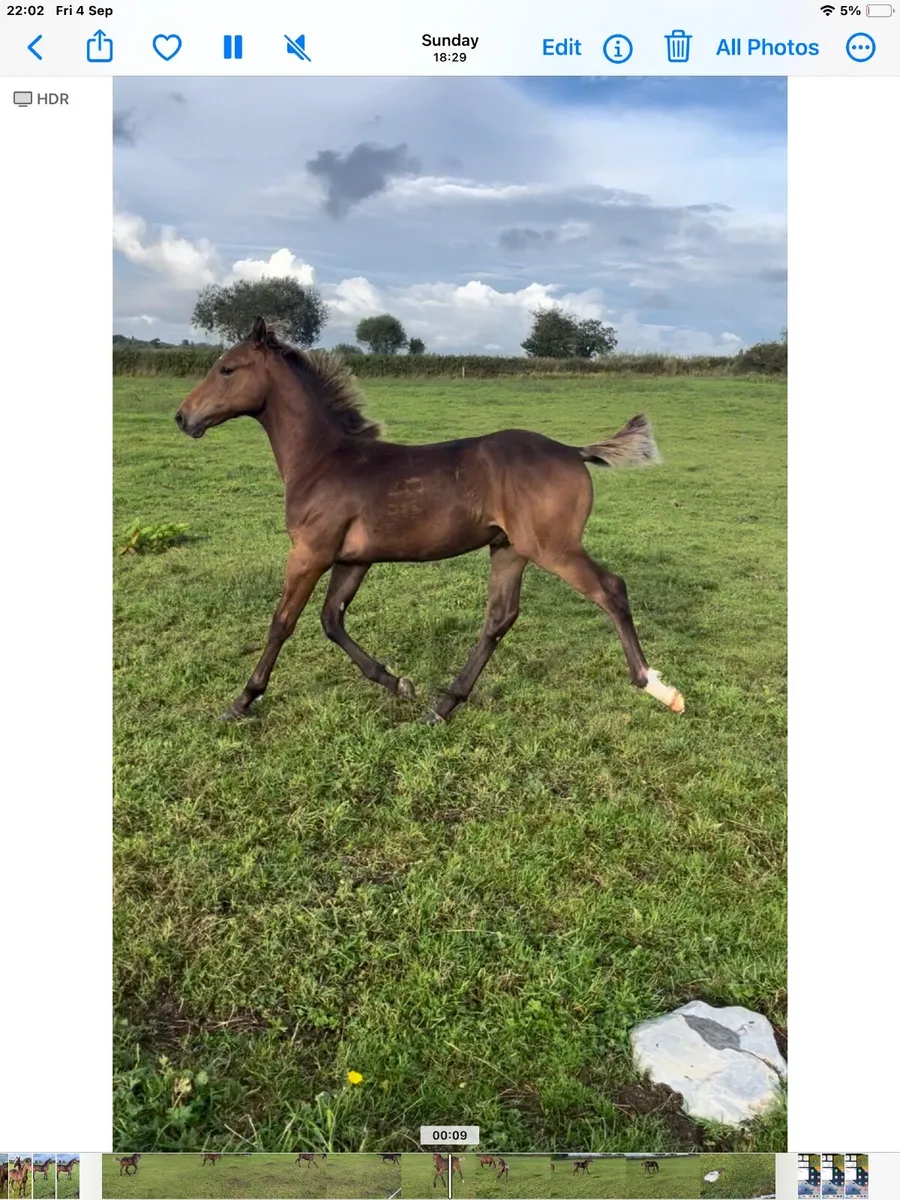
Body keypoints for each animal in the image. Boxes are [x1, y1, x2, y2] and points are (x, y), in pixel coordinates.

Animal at [174, 319, 684, 726]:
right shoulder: (353, 559)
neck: (324, 461)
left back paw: (658, 687)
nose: (182, 417)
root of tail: (572, 450)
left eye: (227, 368)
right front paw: (398, 683)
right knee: (499, 617)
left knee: (610, 589)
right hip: (509, 549)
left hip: (553, 547)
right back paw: (442, 706)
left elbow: (282, 623)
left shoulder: (309, 553)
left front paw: (242, 701)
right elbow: (331, 620)